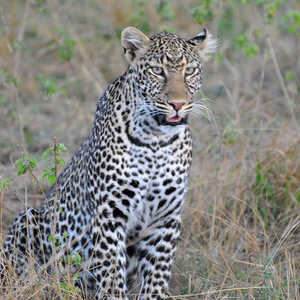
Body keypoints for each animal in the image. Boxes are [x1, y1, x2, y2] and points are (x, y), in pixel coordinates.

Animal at [0, 27, 216, 298]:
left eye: (190, 71)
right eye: (158, 70)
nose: (177, 104)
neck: (156, 139)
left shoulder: (166, 218)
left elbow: (157, 273)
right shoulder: (109, 212)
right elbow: (112, 272)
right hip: (28, 219)